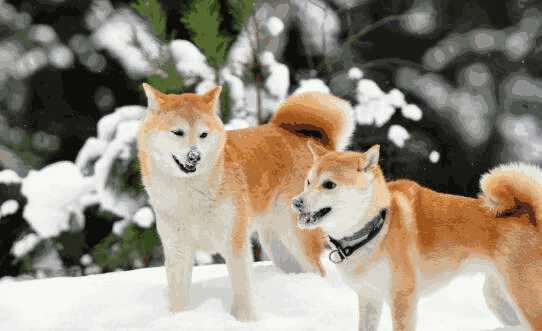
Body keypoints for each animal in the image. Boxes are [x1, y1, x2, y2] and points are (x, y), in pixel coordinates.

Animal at [138, 85, 354, 322]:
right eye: (177, 132)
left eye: (203, 134)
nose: (195, 156)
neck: (190, 193)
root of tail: (316, 144)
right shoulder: (177, 249)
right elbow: (178, 297)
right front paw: (178, 319)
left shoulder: (235, 243)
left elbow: (242, 291)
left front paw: (244, 321)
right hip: (278, 247)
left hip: (296, 238)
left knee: (318, 271)